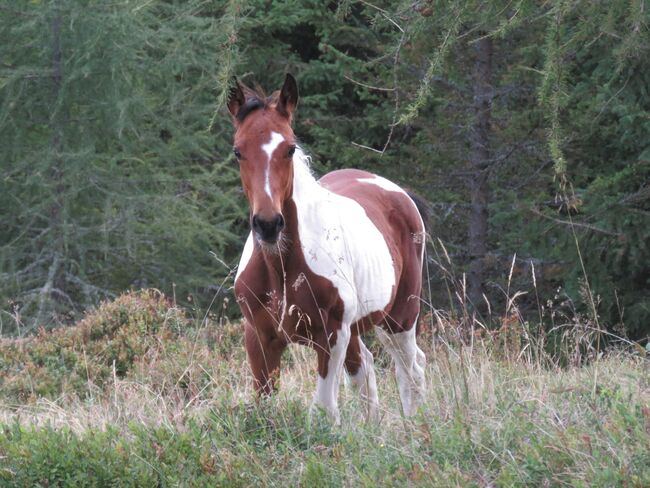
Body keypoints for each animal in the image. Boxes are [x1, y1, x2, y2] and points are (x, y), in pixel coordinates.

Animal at [229, 74, 427, 423]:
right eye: (238, 151)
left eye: (290, 148)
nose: (268, 224)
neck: (281, 269)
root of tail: (399, 194)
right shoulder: (259, 339)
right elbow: (264, 408)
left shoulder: (331, 335)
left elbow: (323, 412)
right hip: (359, 329)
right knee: (366, 372)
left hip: (399, 319)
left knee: (411, 371)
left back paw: (415, 428)